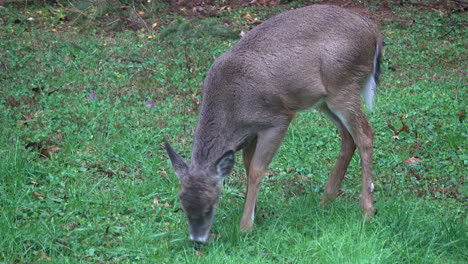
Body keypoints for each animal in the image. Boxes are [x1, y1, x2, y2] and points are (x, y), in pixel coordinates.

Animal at [165, 4, 380, 243]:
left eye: (211, 206)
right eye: (183, 206)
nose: (197, 241)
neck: (233, 109)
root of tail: (372, 30)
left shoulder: (277, 119)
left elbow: (257, 169)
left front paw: (245, 227)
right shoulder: (250, 133)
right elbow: (248, 166)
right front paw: (254, 211)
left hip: (343, 86)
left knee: (365, 134)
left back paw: (367, 211)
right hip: (324, 100)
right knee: (348, 136)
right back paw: (326, 200)